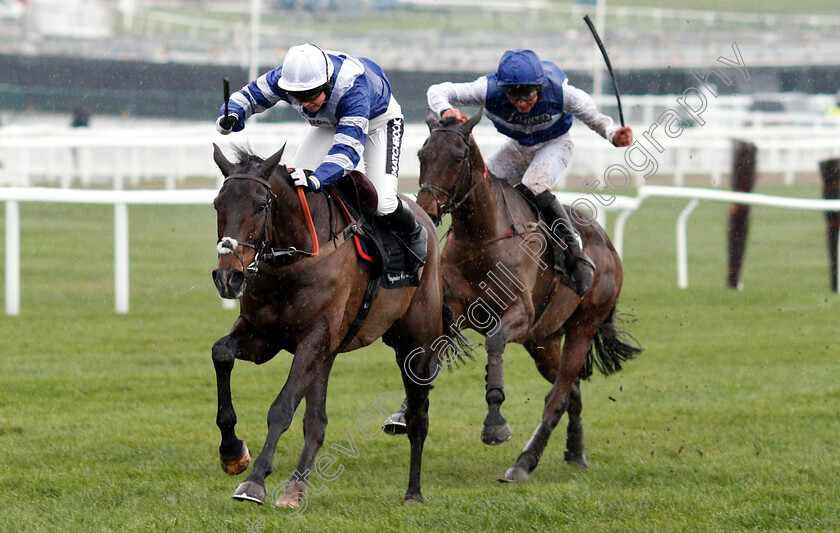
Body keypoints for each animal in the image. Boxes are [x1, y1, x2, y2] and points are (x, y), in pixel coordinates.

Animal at [210, 142, 446, 508]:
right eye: (218, 204)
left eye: (261, 205)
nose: (228, 277)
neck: (294, 260)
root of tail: (426, 223)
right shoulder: (264, 335)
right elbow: (221, 353)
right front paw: (233, 453)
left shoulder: (312, 338)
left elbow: (282, 408)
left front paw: (255, 481)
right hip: (329, 352)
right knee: (317, 422)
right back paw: (295, 487)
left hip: (417, 345)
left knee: (419, 417)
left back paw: (414, 492)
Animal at [416, 114, 644, 480]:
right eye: (422, 154)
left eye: (458, 157)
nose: (426, 208)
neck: (481, 236)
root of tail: (609, 245)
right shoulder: (456, 308)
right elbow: (437, 342)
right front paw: (402, 412)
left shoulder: (519, 315)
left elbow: (494, 342)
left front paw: (494, 423)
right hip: (543, 341)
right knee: (571, 392)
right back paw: (574, 453)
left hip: (583, 325)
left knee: (558, 396)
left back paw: (523, 463)